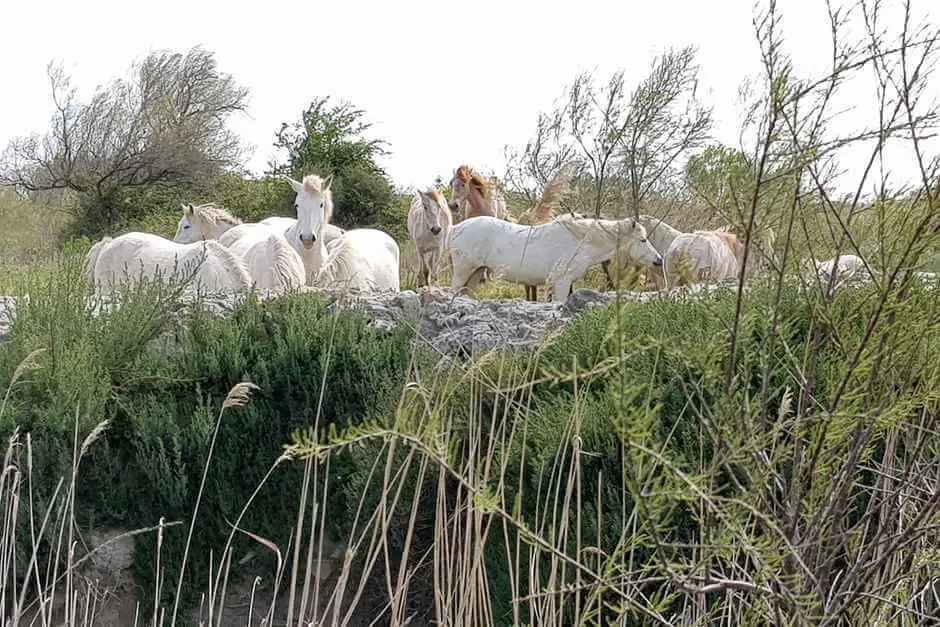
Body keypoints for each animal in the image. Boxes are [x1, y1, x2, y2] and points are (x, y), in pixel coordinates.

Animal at [446, 216, 660, 304]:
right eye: (643, 239)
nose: (658, 260)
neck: (580, 240)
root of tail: (456, 228)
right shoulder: (562, 282)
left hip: (475, 273)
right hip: (463, 270)